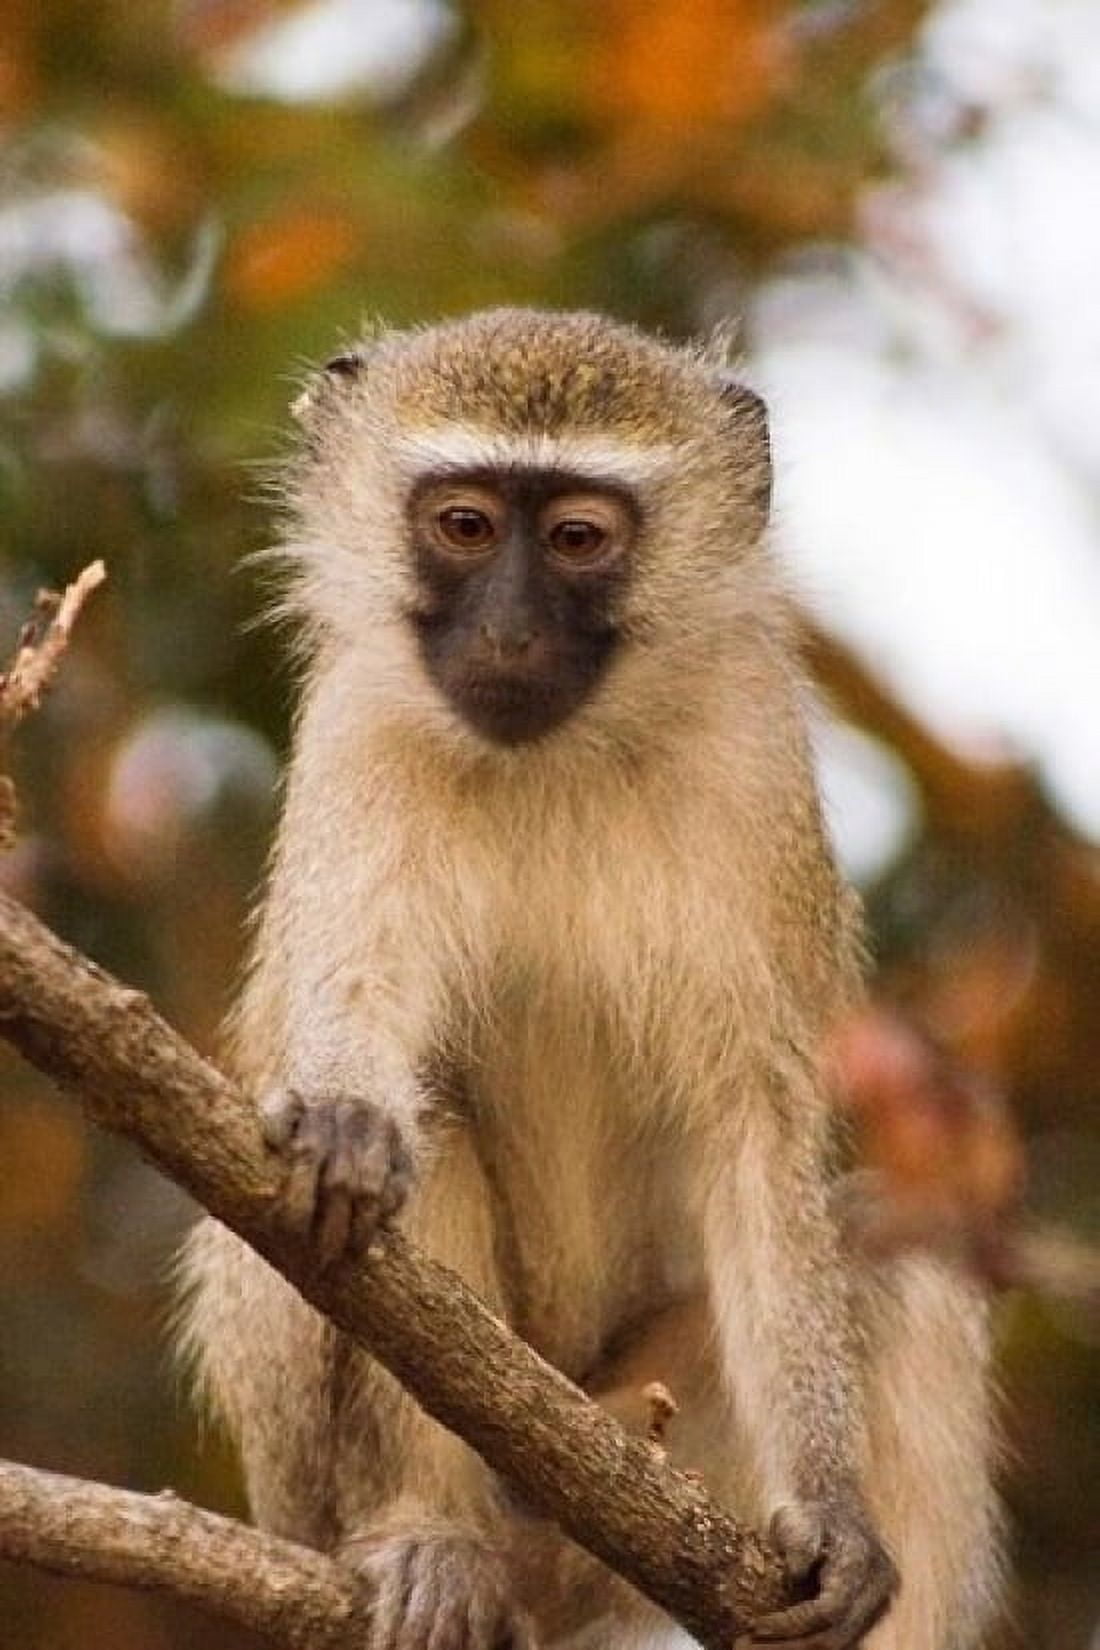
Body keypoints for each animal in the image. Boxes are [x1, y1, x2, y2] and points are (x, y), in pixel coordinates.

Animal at [178, 308, 1002, 1650]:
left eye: (576, 539)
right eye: (464, 525)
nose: (509, 634)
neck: (551, 758)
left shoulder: (755, 758)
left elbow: (753, 1127)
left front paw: (832, 1512)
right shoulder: (357, 729)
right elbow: (349, 1023)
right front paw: (344, 1117)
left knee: (894, 1247)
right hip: (315, 1476)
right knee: (426, 1135)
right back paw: (435, 1540)